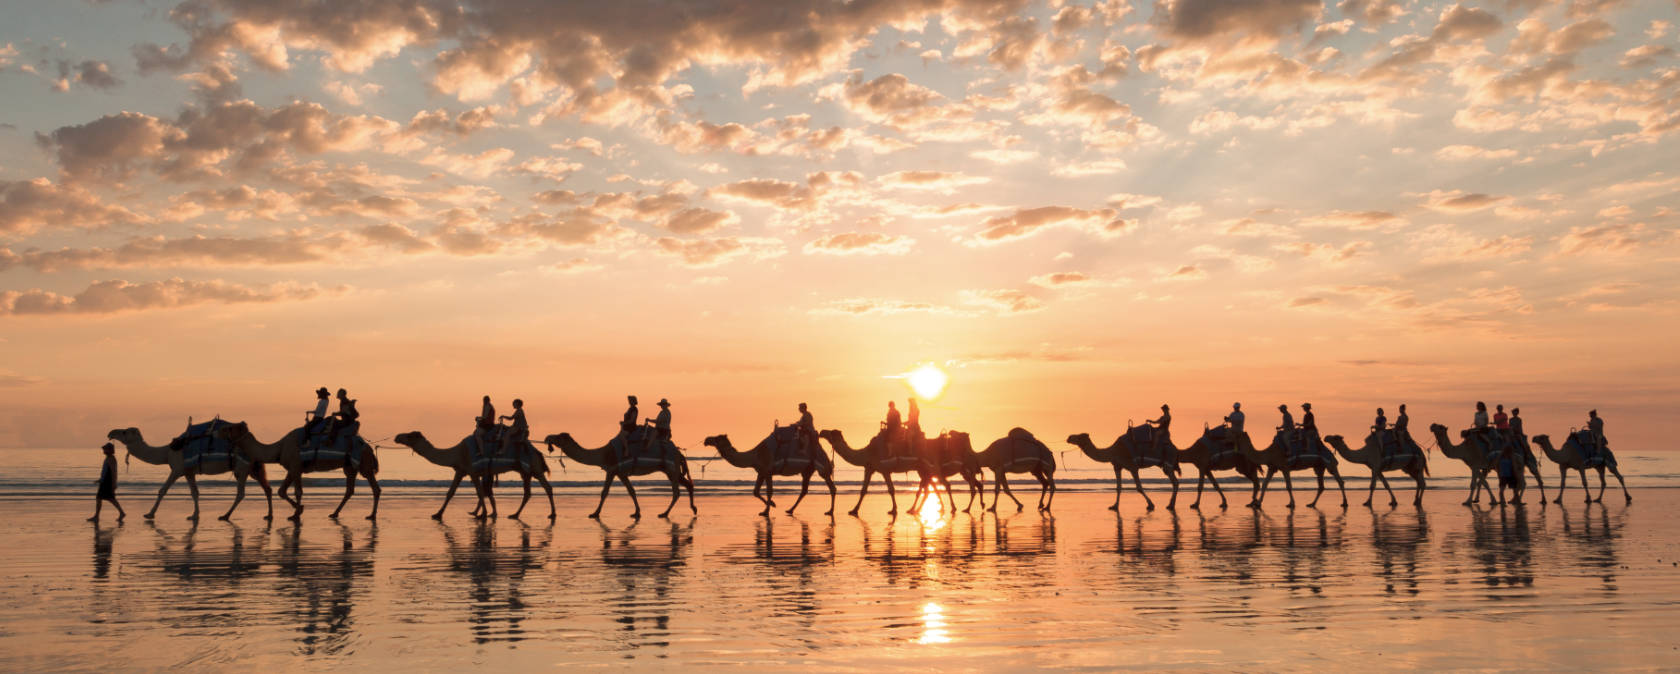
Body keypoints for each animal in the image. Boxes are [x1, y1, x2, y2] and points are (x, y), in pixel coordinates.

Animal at [105, 425, 272, 521]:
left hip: (242, 468)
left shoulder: (177, 469)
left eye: (124, 432)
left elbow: (162, 490)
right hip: (252, 468)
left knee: (241, 493)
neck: (167, 452)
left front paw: (149, 514)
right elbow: (194, 492)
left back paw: (225, 515)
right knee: (267, 488)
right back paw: (269, 515)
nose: (110, 433)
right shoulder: (188, 472)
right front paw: (194, 515)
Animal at [215, 420, 383, 521]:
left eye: (228, 428)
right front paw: (299, 509)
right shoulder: (292, 469)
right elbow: (281, 491)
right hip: (349, 466)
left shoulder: (296, 466)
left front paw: (296, 514)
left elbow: (298, 492)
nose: (217, 431)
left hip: (364, 464)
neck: (279, 448)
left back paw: (372, 515)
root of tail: (367, 446)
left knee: (375, 487)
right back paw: (335, 513)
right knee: (349, 489)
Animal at [393, 430, 557, 521]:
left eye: (410, 435)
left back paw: (550, 514)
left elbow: (479, 492)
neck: (457, 452)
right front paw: (437, 514)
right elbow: (451, 492)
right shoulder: (461, 470)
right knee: (530, 492)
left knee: (545, 488)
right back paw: (517, 514)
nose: (397, 436)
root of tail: (538, 452)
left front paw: (482, 514)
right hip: (526, 471)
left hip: (534, 468)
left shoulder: (472, 471)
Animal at [540, 428, 692, 517]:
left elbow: (604, 492)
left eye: (559, 437)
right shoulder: (621, 473)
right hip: (670, 469)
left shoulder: (612, 470)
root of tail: (679, 453)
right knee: (687, 485)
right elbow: (631, 491)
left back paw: (665, 513)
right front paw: (636, 512)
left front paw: (595, 513)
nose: (547, 437)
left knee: (677, 491)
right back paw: (693, 509)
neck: (604, 453)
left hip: (671, 468)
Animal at [698, 430, 836, 514]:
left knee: (831, 487)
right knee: (804, 490)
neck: (754, 456)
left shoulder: (768, 470)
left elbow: (769, 491)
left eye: (717, 438)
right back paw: (790, 510)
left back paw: (830, 511)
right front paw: (771, 505)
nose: (706, 440)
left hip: (821, 466)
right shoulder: (761, 472)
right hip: (807, 469)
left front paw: (767, 511)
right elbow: (755, 491)